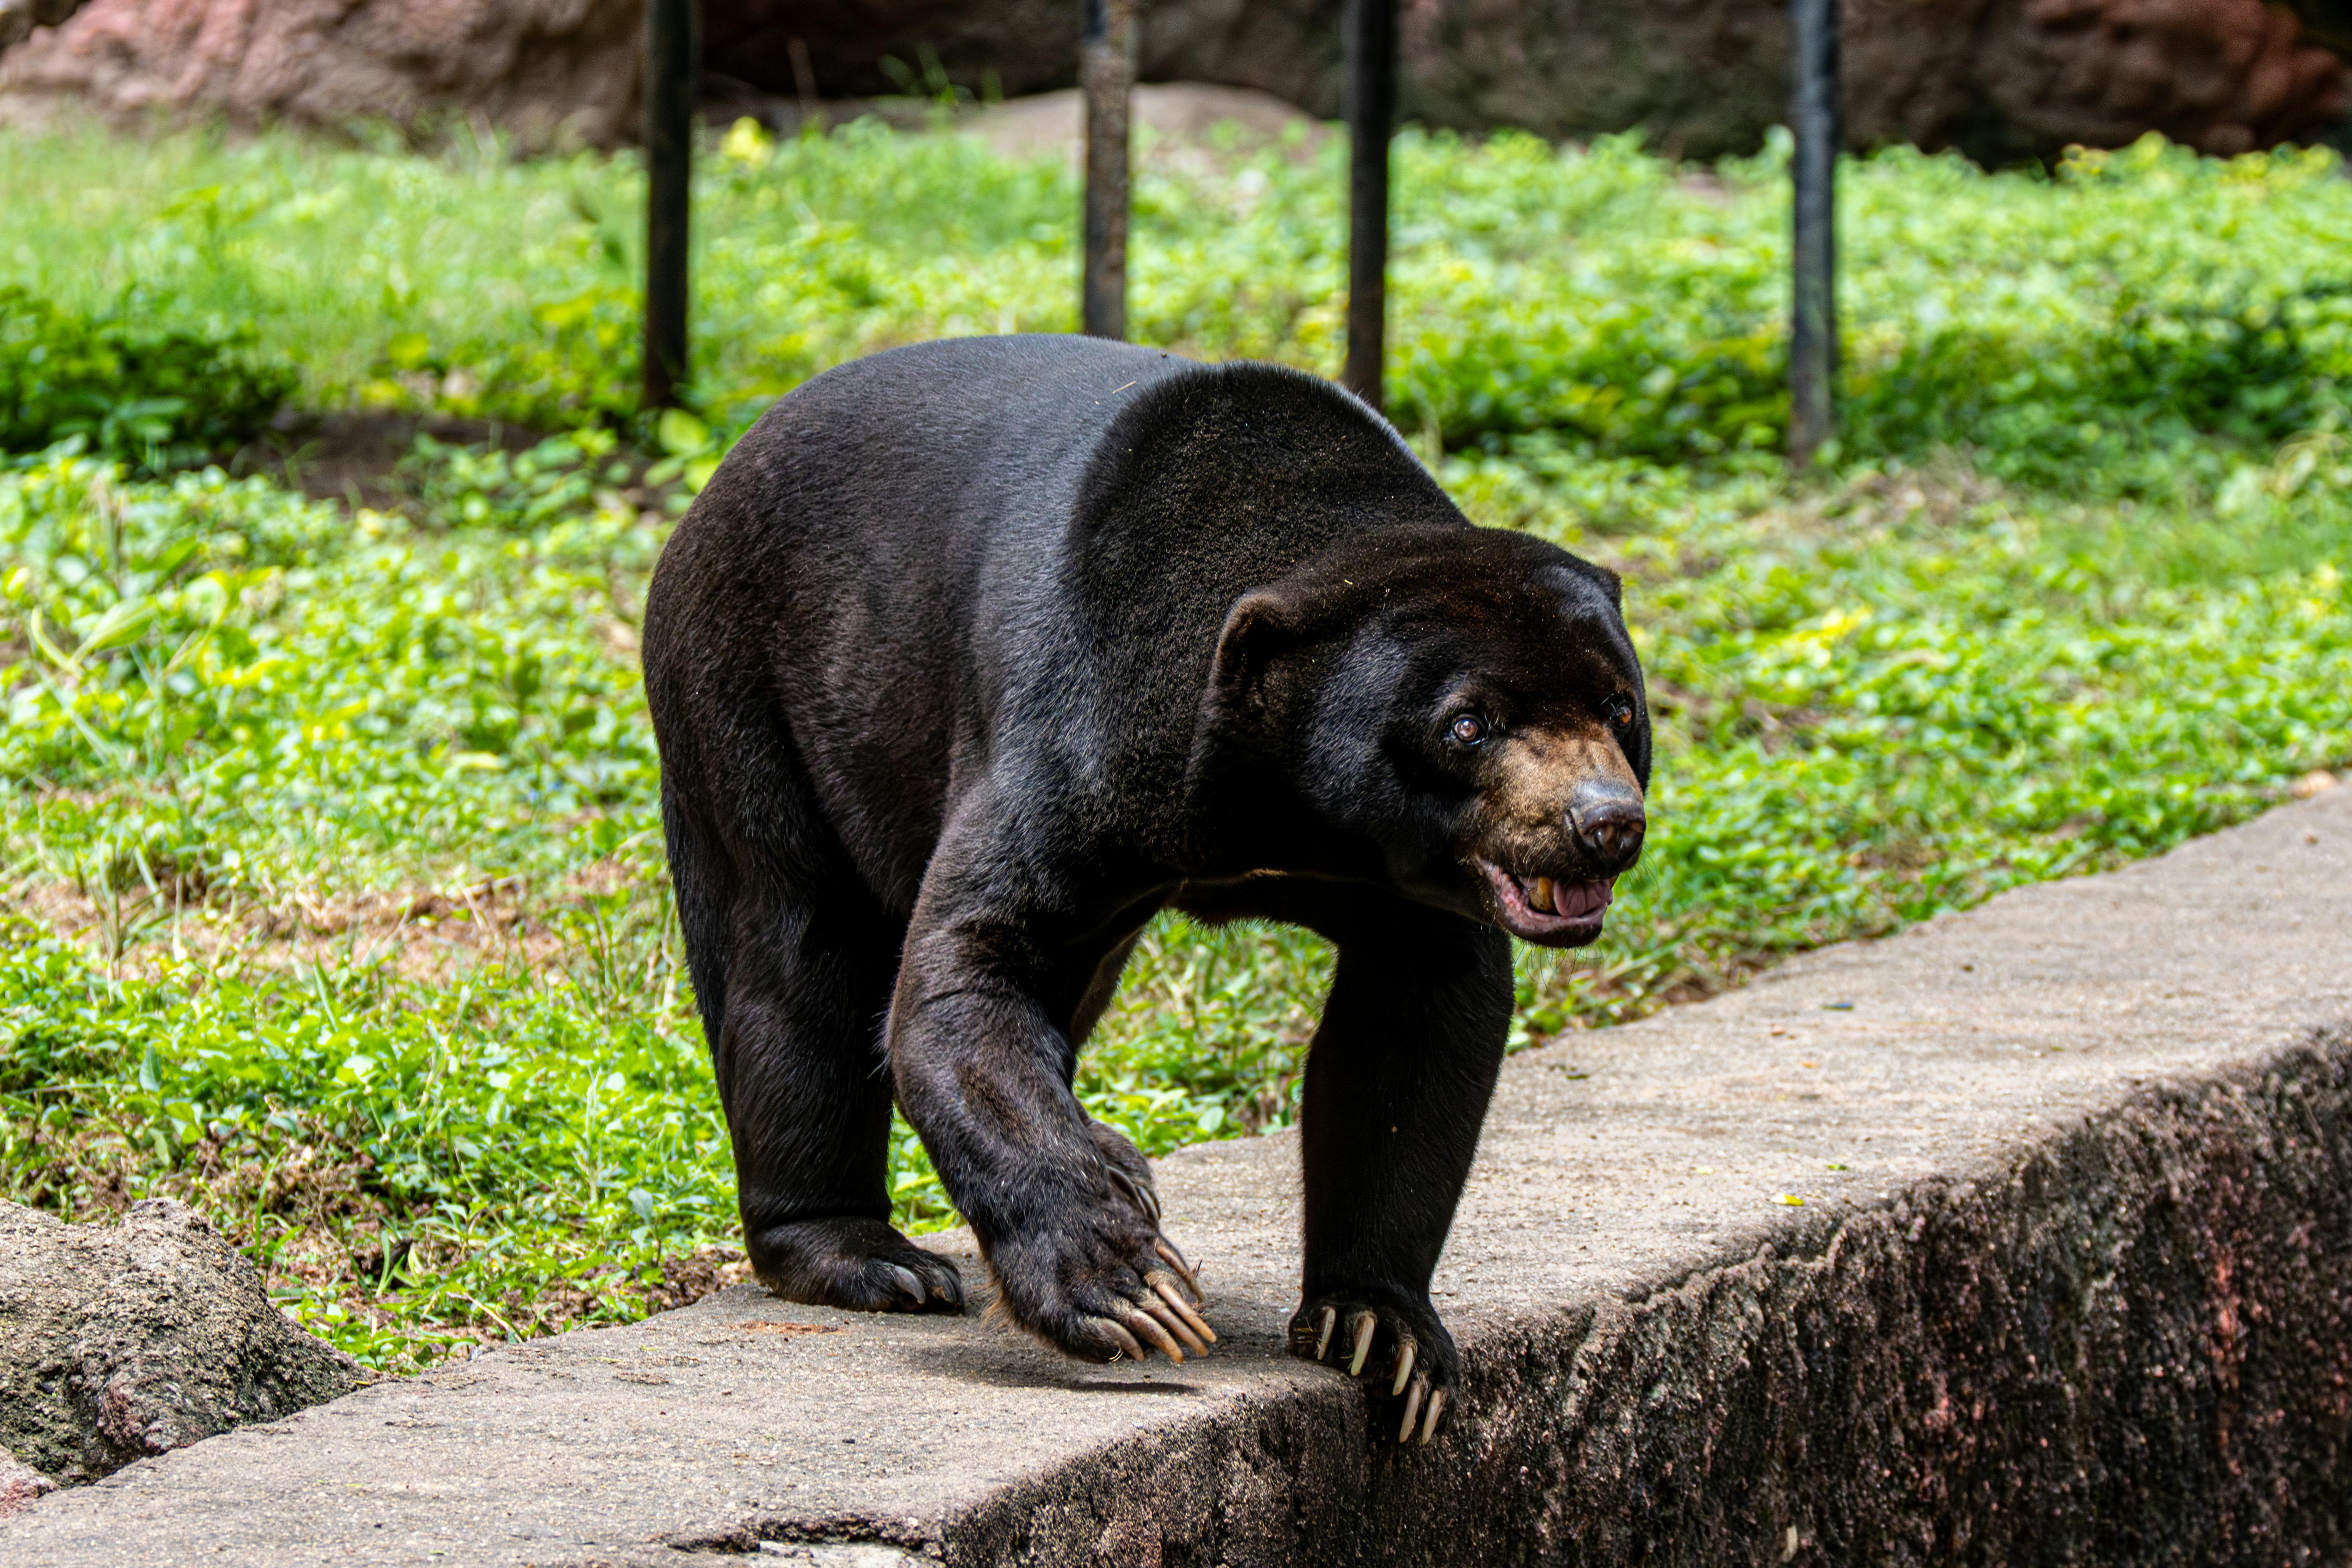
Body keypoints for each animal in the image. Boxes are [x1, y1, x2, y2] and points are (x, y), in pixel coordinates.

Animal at [641, 334, 1649, 1443]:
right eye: (1468, 724)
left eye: (1618, 707)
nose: (1603, 824)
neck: (1278, 809)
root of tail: (713, 481)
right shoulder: (1076, 725)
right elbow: (964, 972)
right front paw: (1129, 1290)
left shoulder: (1391, 869)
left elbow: (1415, 1024)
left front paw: (1381, 1335)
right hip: (753, 689)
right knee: (799, 960)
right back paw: (871, 1255)